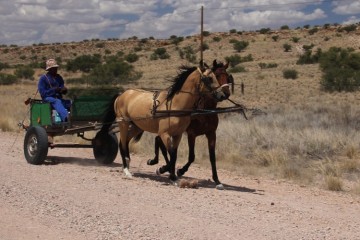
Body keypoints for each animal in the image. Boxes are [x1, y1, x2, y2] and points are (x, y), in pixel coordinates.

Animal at [100, 63, 228, 182]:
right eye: (210, 78)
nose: (222, 95)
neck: (176, 105)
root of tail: (122, 94)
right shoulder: (165, 134)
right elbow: (171, 154)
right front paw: (167, 172)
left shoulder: (178, 135)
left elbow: (174, 155)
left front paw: (172, 175)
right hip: (123, 124)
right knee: (122, 144)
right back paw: (127, 170)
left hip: (136, 126)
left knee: (125, 142)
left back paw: (128, 163)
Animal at [147, 60, 233, 189]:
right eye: (217, 76)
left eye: (227, 76)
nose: (225, 94)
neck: (205, 111)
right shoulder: (192, 134)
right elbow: (192, 156)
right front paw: (180, 171)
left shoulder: (211, 134)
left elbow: (212, 157)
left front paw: (217, 180)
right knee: (162, 144)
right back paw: (163, 168)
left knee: (159, 141)